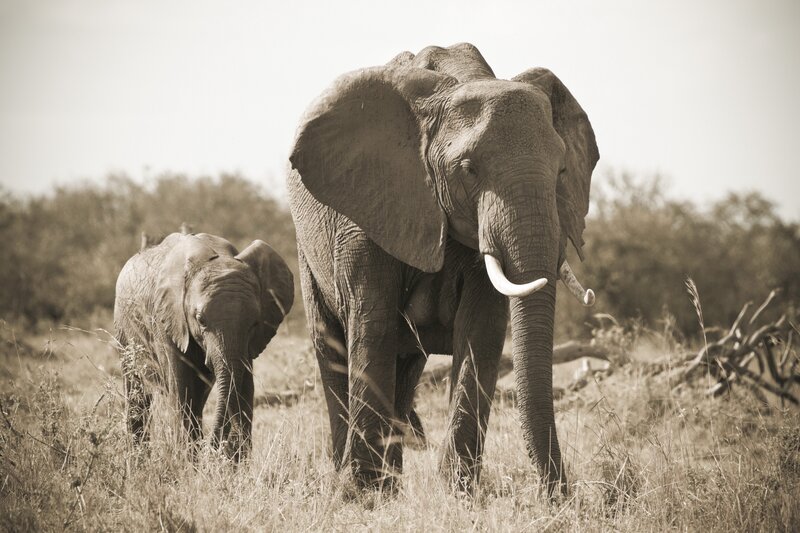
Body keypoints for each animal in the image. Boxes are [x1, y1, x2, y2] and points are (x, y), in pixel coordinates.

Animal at [113, 232, 294, 459]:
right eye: (200, 320)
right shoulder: (167, 319)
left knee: (198, 400)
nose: (215, 448)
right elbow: (181, 390)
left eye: (254, 323)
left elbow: (243, 388)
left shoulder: (248, 343)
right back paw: (139, 460)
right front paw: (188, 464)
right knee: (137, 391)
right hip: (124, 329)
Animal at [287, 42, 598, 494]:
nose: (558, 493)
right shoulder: (367, 208)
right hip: (305, 246)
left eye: (561, 170)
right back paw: (354, 477)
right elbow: (372, 324)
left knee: (406, 364)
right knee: (332, 345)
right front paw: (359, 494)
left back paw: (391, 483)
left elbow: (481, 329)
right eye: (468, 169)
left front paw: (459, 492)